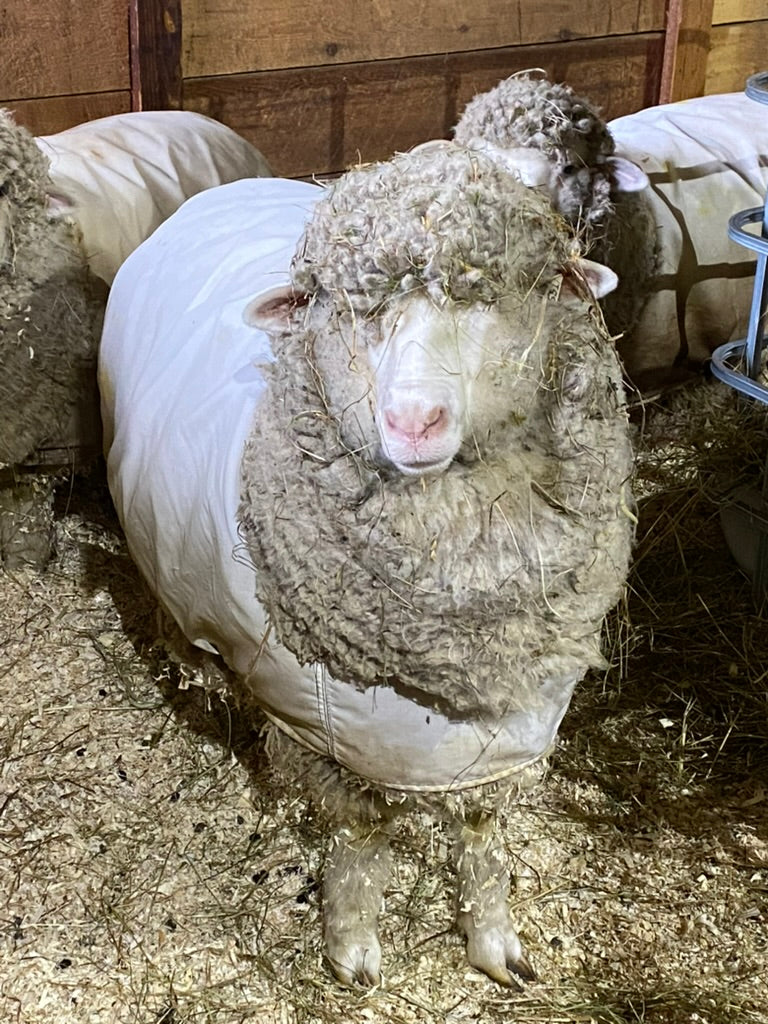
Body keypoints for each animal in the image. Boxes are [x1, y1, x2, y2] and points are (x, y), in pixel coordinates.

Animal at [99, 144, 635, 988]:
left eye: (490, 298)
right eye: (356, 312)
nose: (414, 420)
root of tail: (217, 191)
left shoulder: (500, 738)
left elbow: (483, 837)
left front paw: (492, 939)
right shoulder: (327, 737)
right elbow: (359, 841)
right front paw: (351, 944)